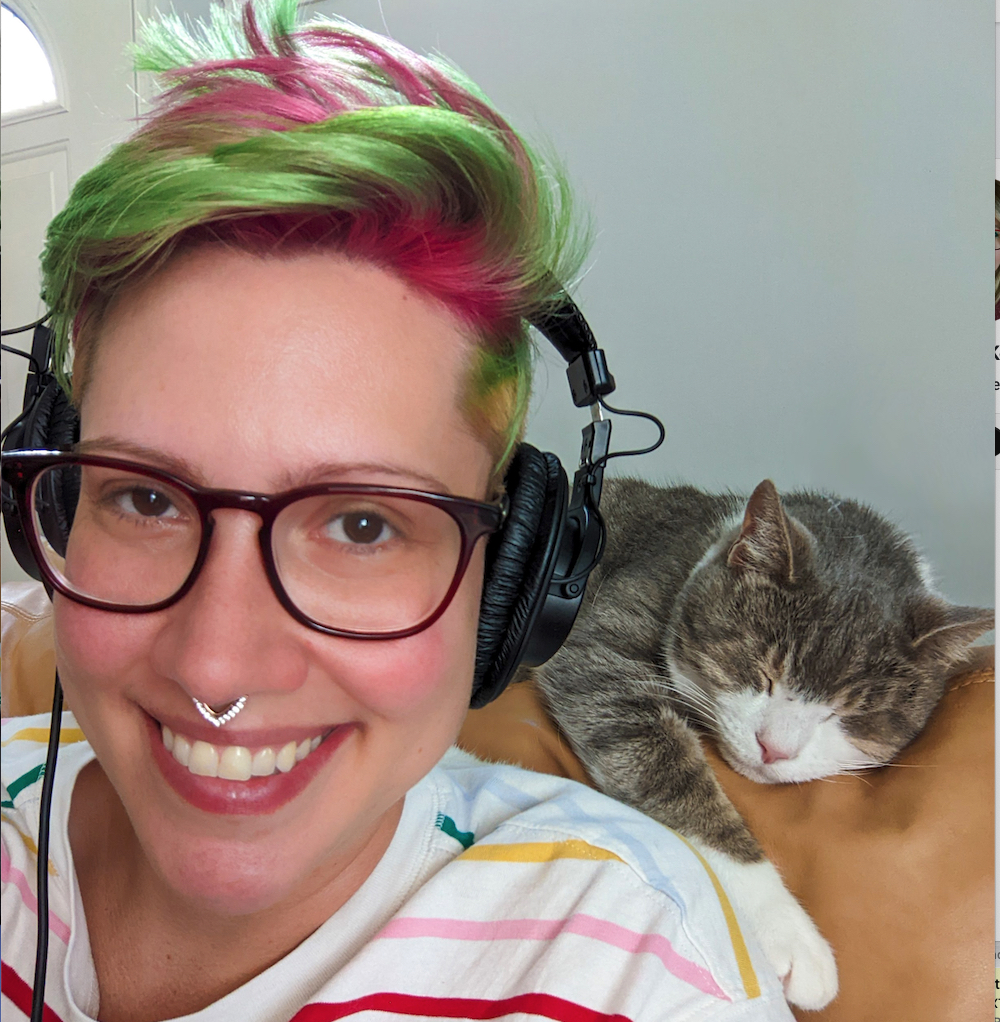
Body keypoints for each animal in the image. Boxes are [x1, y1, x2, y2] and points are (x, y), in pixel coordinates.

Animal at [531, 476, 989, 1005]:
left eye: (848, 712)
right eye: (762, 670)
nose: (775, 748)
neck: (705, 549)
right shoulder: (601, 647)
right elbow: (671, 775)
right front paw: (787, 933)